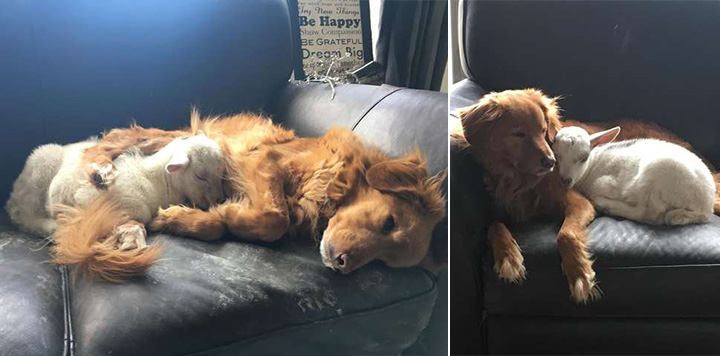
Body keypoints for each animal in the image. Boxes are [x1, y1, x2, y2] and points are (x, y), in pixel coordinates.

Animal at [57, 112, 444, 280]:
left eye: (384, 263)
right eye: (388, 221)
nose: (342, 264)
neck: (337, 179)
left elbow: (245, 221)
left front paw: (206, 216)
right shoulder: (263, 160)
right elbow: (275, 218)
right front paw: (226, 215)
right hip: (162, 138)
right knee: (111, 143)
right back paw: (100, 169)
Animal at [552, 126, 716, 225]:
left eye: (584, 158)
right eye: (556, 156)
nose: (565, 180)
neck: (592, 165)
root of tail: (706, 207)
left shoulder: (605, 184)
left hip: (659, 178)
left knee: (650, 213)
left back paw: (607, 205)